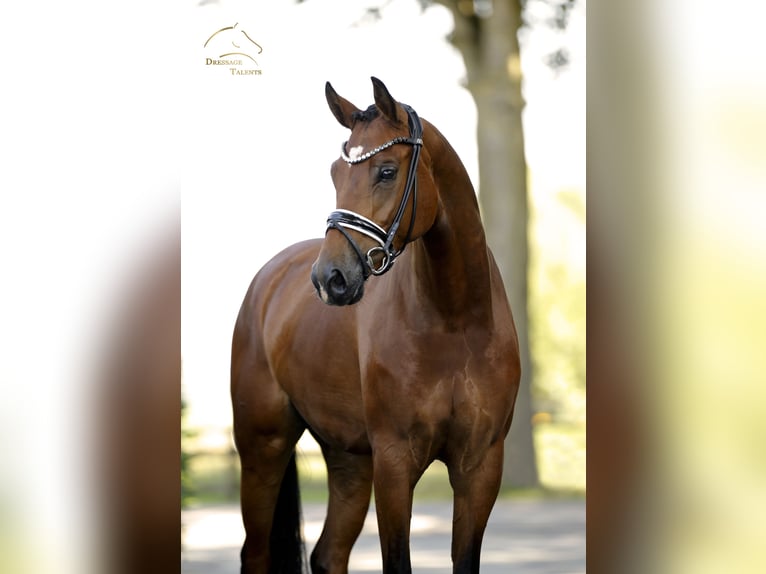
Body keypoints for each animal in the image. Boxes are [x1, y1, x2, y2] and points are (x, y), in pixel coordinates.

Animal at [231, 77, 520, 574]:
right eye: (335, 173)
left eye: (386, 171)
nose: (330, 279)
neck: (456, 323)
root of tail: (269, 280)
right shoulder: (394, 462)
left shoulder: (480, 466)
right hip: (263, 447)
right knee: (256, 553)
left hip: (348, 458)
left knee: (328, 554)